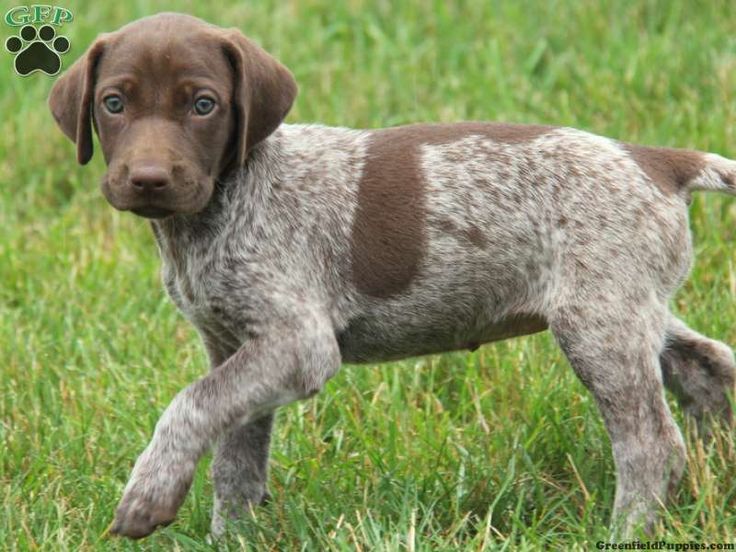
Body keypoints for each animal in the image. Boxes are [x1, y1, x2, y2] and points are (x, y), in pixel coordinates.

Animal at [47, 11, 736, 540]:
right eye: (114, 104)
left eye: (203, 105)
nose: (148, 180)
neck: (220, 206)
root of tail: (656, 160)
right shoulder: (233, 346)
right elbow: (235, 461)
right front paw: (230, 539)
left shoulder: (297, 344)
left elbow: (190, 404)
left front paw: (148, 494)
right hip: (629, 308)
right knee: (709, 365)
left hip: (599, 323)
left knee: (652, 443)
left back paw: (628, 532)